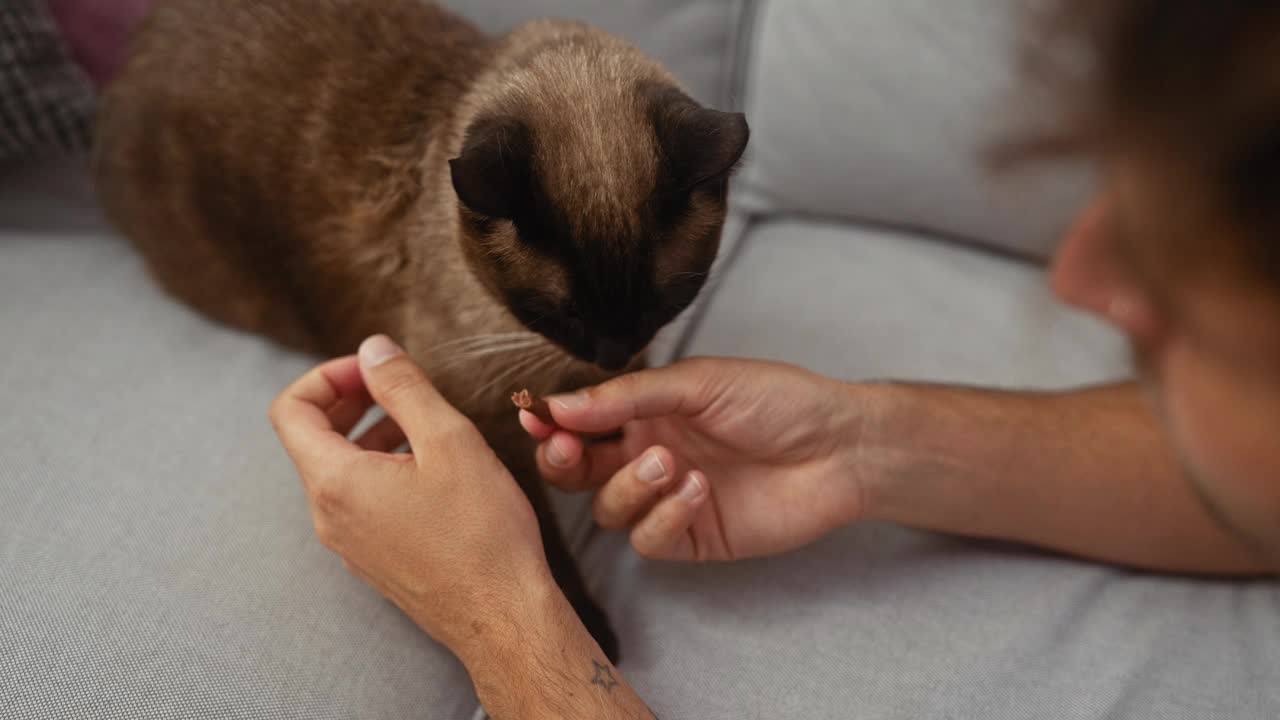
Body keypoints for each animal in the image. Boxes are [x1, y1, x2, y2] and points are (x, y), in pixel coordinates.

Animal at [97, 0, 747, 661]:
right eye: (561, 313)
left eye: (663, 303)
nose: (613, 356)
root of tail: (143, 41)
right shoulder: (483, 417)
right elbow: (540, 540)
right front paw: (590, 634)